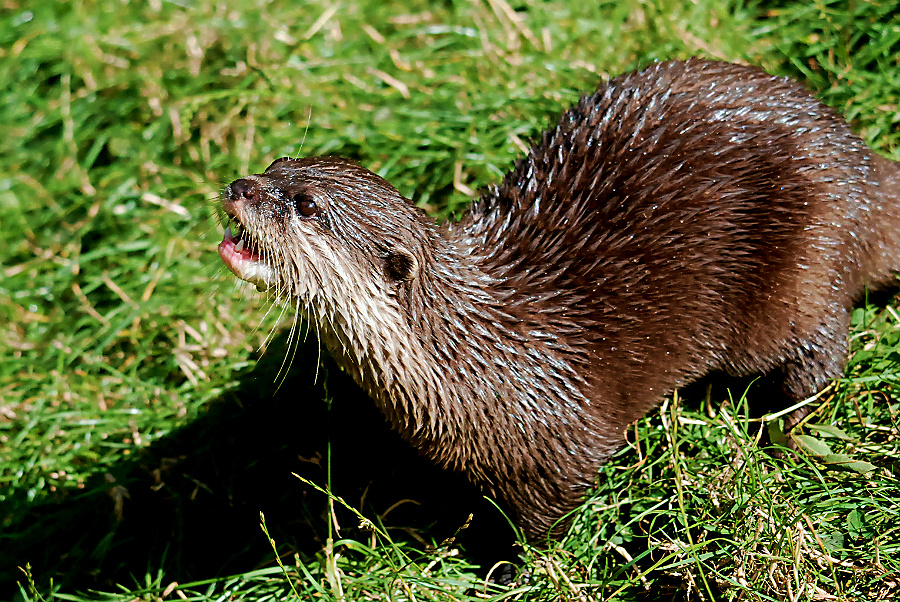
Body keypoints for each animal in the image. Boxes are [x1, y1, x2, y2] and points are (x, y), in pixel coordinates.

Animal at [218, 59, 900, 539]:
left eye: (305, 205)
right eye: (276, 165)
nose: (237, 186)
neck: (467, 356)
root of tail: (860, 168)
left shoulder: (561, 440)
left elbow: (547, 514)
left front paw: (504, 568)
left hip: (802, 263)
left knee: (821, 345)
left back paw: (781, 425)